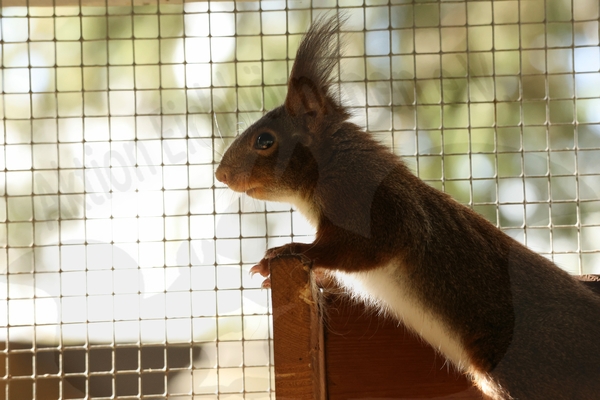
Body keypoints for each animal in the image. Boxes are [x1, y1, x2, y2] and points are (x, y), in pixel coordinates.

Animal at [215, 15, 600, 400]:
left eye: (265, 140)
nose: (220, 174)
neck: (332, 166)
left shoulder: (371, 206)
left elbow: (362, 248)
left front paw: (287, 251)